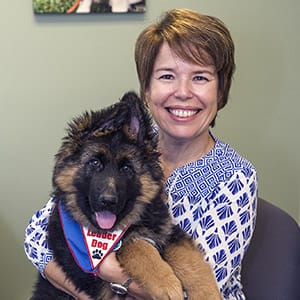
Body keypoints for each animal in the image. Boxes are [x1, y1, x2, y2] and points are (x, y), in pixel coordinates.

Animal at [31, 91, 220, 300]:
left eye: (127, 169)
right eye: (95, 163)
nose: (108, 202)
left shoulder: (169, 232)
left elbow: (192, 263)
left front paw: (208, 294)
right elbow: (136, 246)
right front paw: (168, 285)